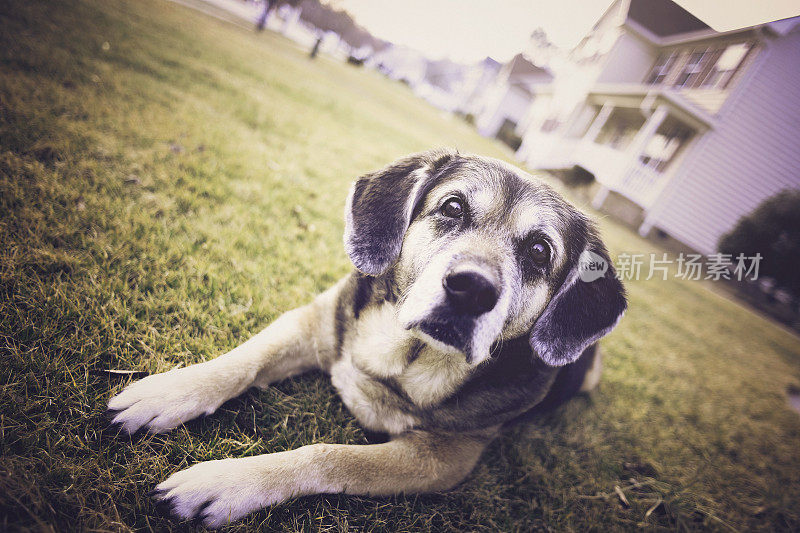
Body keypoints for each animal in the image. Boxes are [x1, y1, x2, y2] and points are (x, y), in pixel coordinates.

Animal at [106, 150, 624, 528]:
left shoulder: (442, 457)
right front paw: (167, 393)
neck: (400, 362)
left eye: (539, 251)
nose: (472, 288)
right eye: (453, 207)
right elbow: (241, 362)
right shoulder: (312, 323)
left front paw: (226, 481)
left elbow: (330, 456)